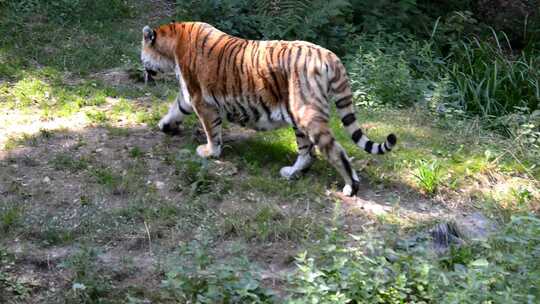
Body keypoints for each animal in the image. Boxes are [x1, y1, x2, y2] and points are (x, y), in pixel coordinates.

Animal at [141, 22, 398, 197]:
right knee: (307, 153)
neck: (172, 44)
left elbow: (212, 132)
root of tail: (329, 55)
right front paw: (164, 125)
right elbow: (175, 108)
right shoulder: (188, 96)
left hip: (308, 115)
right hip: (298, 117)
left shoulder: (200, 100)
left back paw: (350, 187)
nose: (143, 71)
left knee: (335, 151)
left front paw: (209, 153)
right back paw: (291, 173)